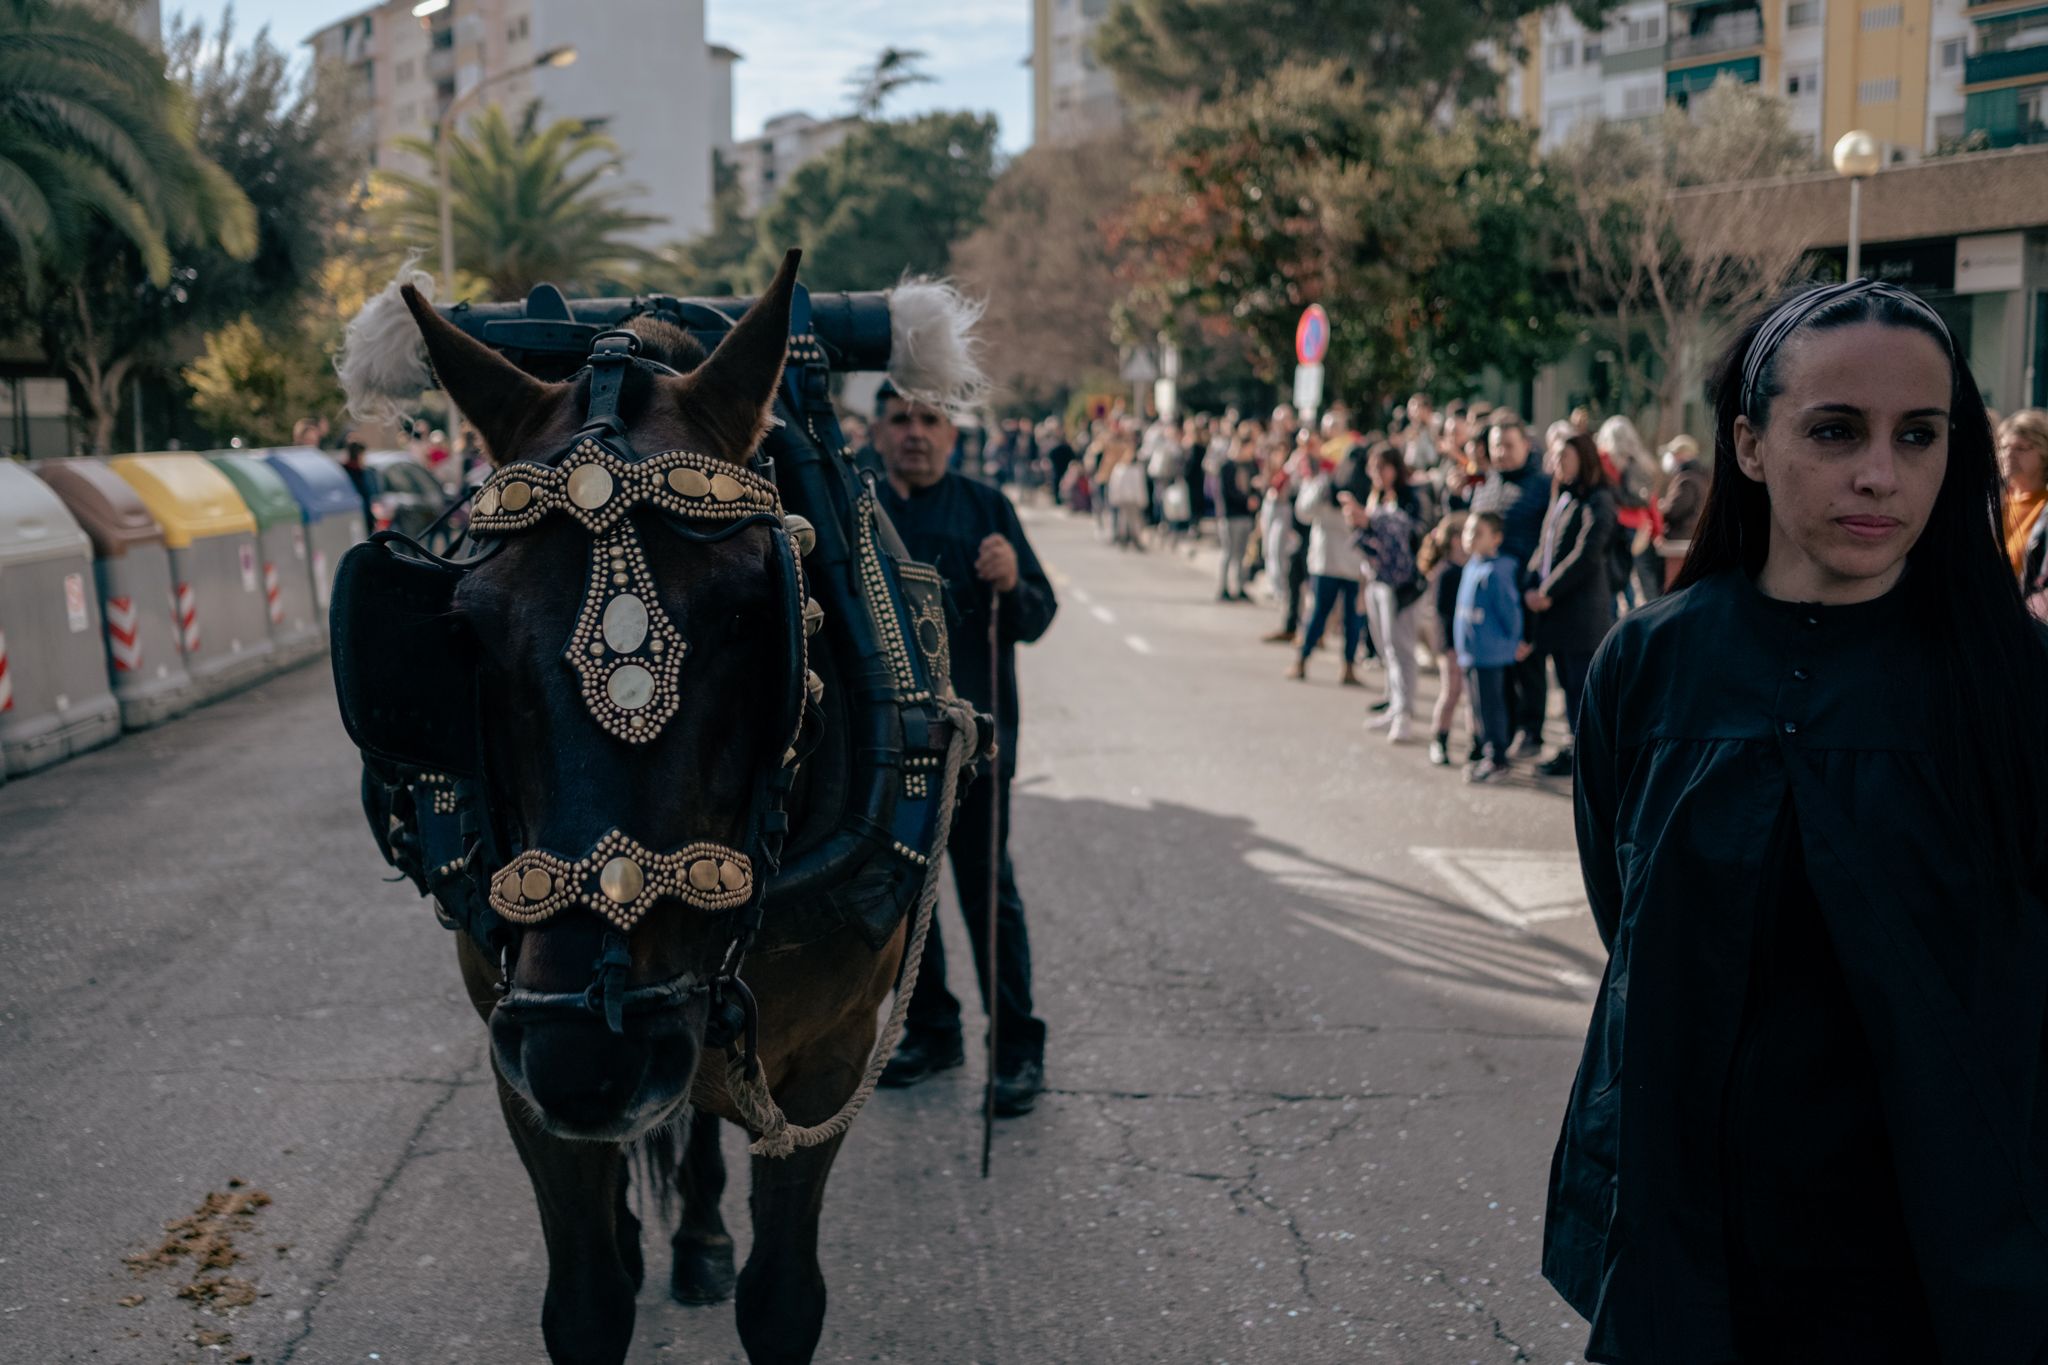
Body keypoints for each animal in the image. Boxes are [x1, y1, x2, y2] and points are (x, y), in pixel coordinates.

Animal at [387, 258, 917, 1365]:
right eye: (465, 634)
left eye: (755, 615)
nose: (593, 1053)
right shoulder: (515, 1061)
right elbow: (585, 1302)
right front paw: (619, 1257)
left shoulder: (832, 1058)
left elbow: (784, 1300)